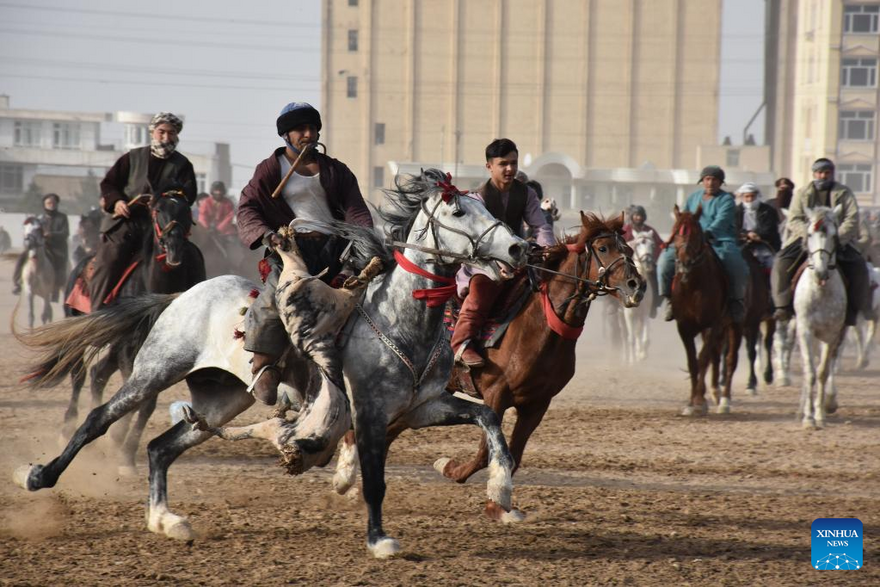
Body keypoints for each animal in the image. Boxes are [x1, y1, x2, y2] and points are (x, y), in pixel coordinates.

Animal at [55, 193, 206, 468]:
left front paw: (124, 448)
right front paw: (118, 441)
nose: (173, 244)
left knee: (98, 374)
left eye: (187, 210)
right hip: (82, 331)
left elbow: (146, 403)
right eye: (157, 210)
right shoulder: (131, 348)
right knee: (79, 374)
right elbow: (139, 398)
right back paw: (68, 426)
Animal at [422, 209, 644, 484]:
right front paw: (449, 467)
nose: (637, 285)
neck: (540, 328)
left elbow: (513, 458)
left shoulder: (536, 405)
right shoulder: (495, 396)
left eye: (628, 249)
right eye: (603, 248)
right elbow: (485, 453)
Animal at [668, 204, 744, 416]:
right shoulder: (684, 328)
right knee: (715, 357)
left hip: (735, 324)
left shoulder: (712, 325)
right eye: (676, 232)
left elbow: (703, 359)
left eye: (695, 234)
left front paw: (699, 401)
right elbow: (693, 362)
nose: (684, 262)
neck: (693, 285)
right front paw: (691, 402)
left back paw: (724, 400)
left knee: (729, 359)